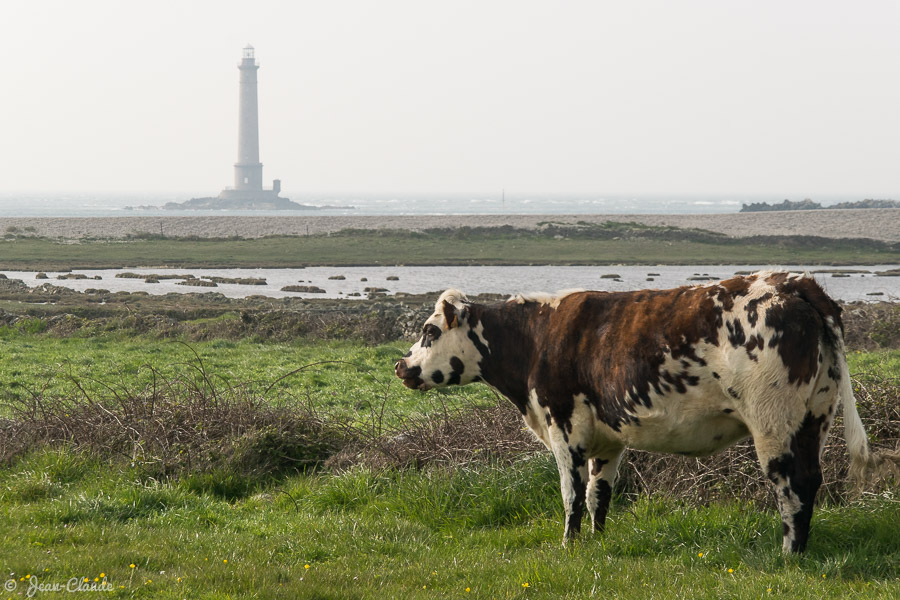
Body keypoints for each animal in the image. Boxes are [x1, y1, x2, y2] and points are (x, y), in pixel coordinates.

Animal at [396, 272, 900, 552]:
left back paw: (788, 554)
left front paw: (567, 546)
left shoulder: (564, 428)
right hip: (816, 413)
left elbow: (570, 495)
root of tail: (794, 283)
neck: (538, 337)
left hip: (775, 420)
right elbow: (599, 494)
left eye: (429, 331)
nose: (402, 365)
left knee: (790, 483)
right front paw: (597, 543)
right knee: (811, 479)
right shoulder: (607, 438)